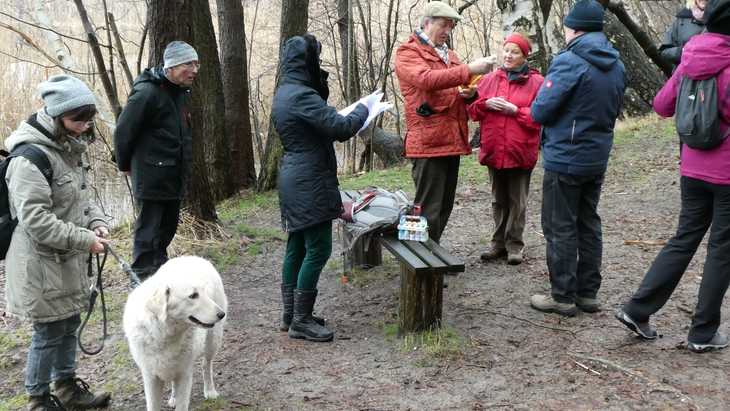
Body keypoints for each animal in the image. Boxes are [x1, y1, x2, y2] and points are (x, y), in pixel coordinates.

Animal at [121, 256, 228, 410]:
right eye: (193, 295)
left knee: (206, 365)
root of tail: (194, 257)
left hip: (213, 341)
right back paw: (174, 398)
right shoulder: (151, 378)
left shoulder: (185, 374)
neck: (163, 333)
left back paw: (210, 391)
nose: (221, 314)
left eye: (203, 292)